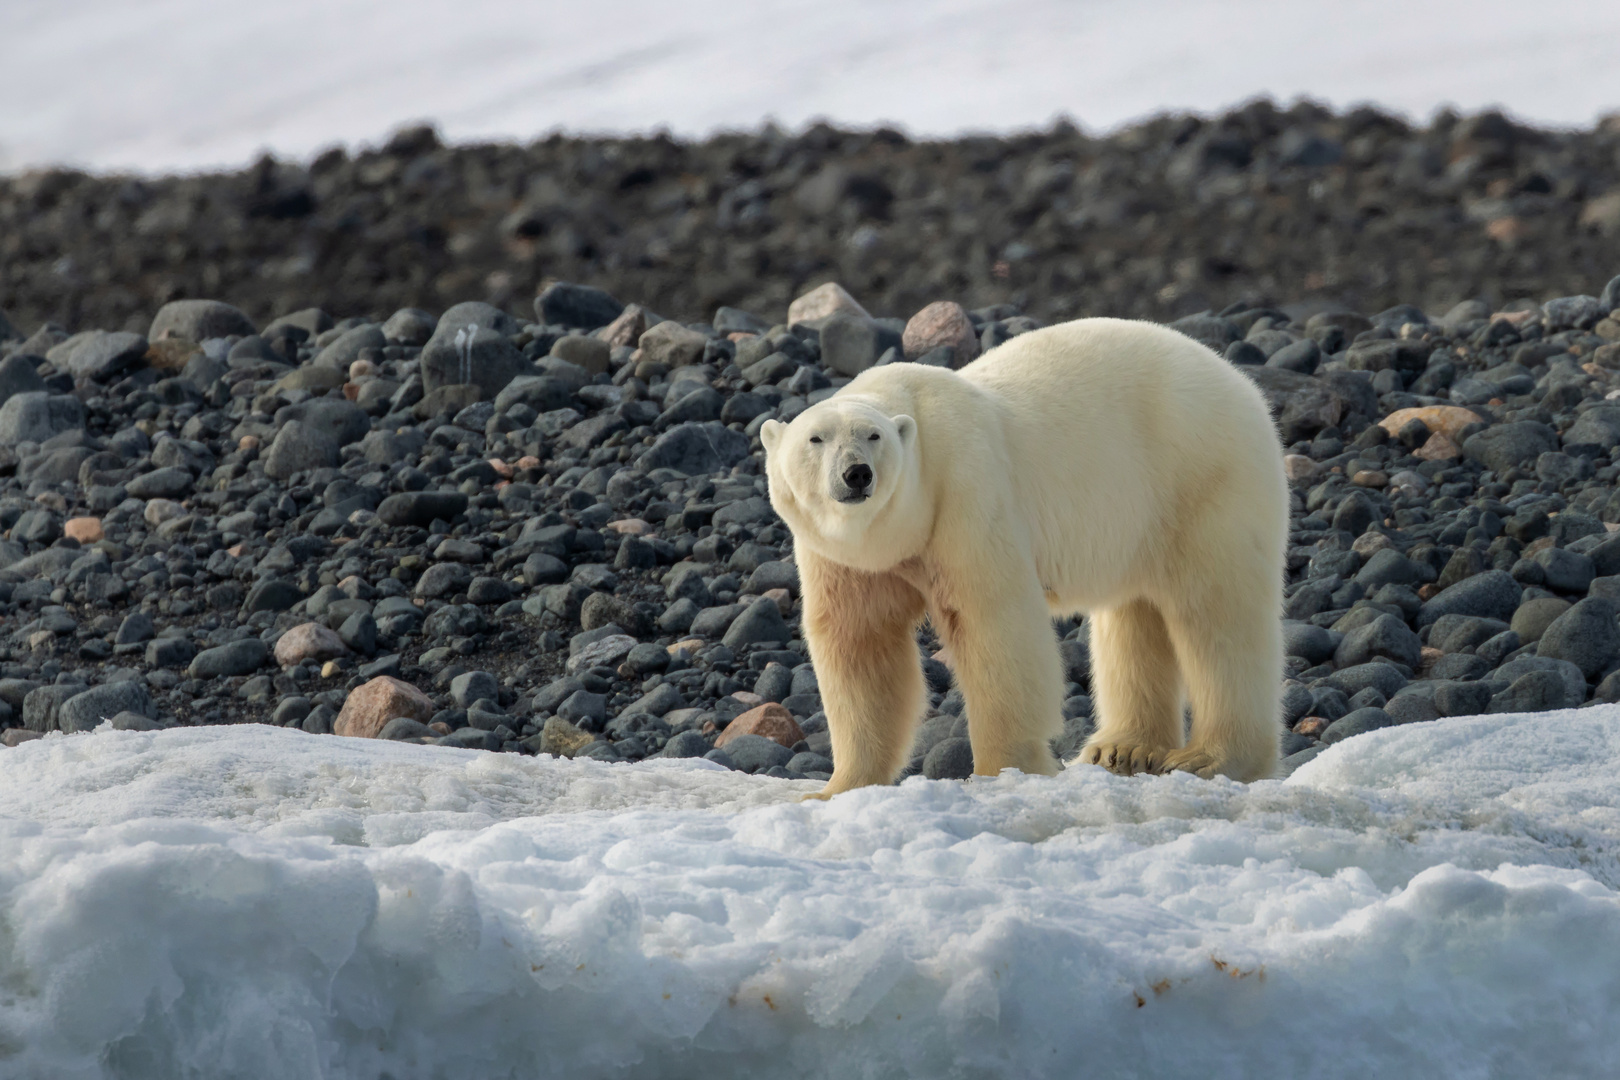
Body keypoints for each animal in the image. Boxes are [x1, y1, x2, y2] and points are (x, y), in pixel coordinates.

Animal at [761, 317, 1289, 799]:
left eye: (873, 436)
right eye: (815, 439)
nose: (856, 474)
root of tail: (1241, 382)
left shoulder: (966, 494)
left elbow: (993, 625)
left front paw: (1002, 771)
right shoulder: (844, 560)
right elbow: (859, 645)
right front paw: (835, 788)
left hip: (1204, 477)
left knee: (1217, 615)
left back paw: (1212, 757)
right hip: (1140, 518)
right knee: (1134, 615)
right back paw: (1122, 748)